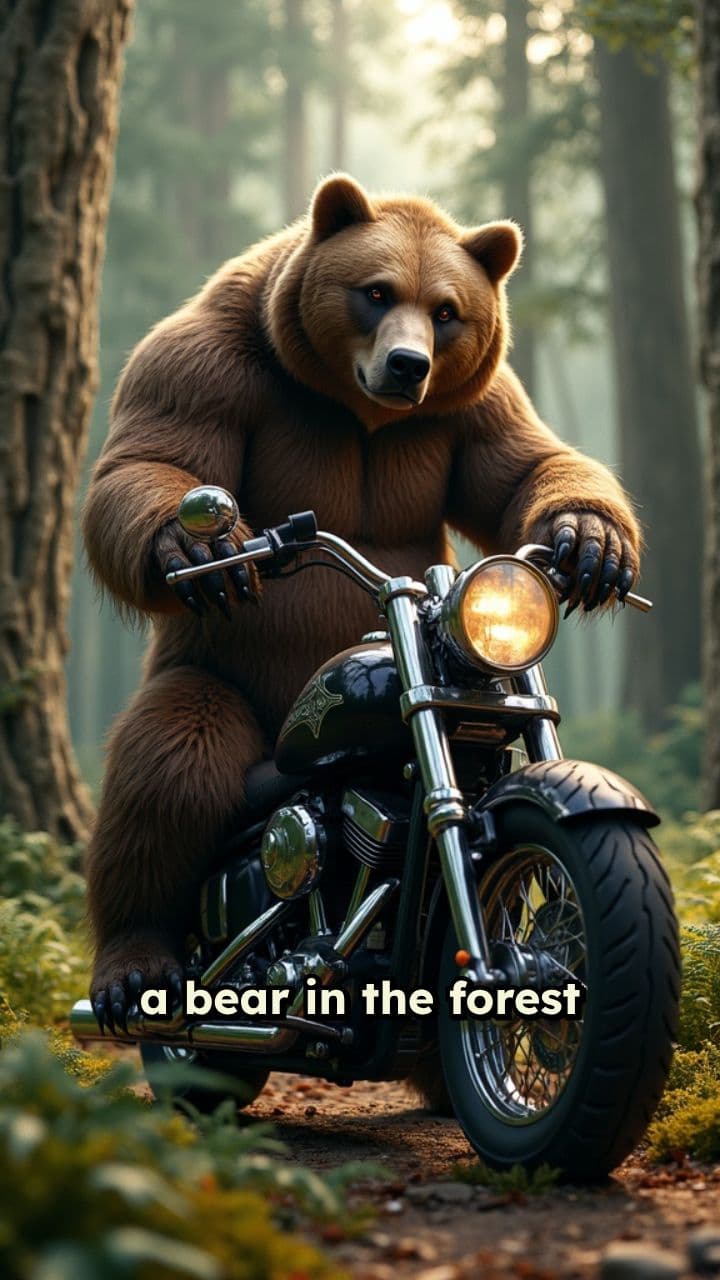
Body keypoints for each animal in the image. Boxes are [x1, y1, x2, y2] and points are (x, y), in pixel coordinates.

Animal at [82, 174, 641, 1034]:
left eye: (447, 310)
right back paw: (132, 975)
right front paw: (196, 544)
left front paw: (591, 540)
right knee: (171, 758)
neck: (358, 410)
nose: (408, 365)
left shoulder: (472, 406)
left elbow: (522, 466)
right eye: (375, 293)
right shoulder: (205, 366)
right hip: (216, 707)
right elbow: (153, 456)